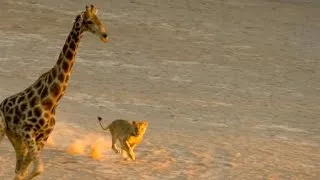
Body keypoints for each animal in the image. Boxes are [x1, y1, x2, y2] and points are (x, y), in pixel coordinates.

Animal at [0, 4, 107, 179]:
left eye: (100, 19)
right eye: (90, 21)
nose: (105, 35)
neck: (52, 99)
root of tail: (2, 103)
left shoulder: (42, 137)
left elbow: (29, 171)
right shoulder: (27, 130)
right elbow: (35, 169)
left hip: (15, 136)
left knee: (19, 165)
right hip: (3, 128)